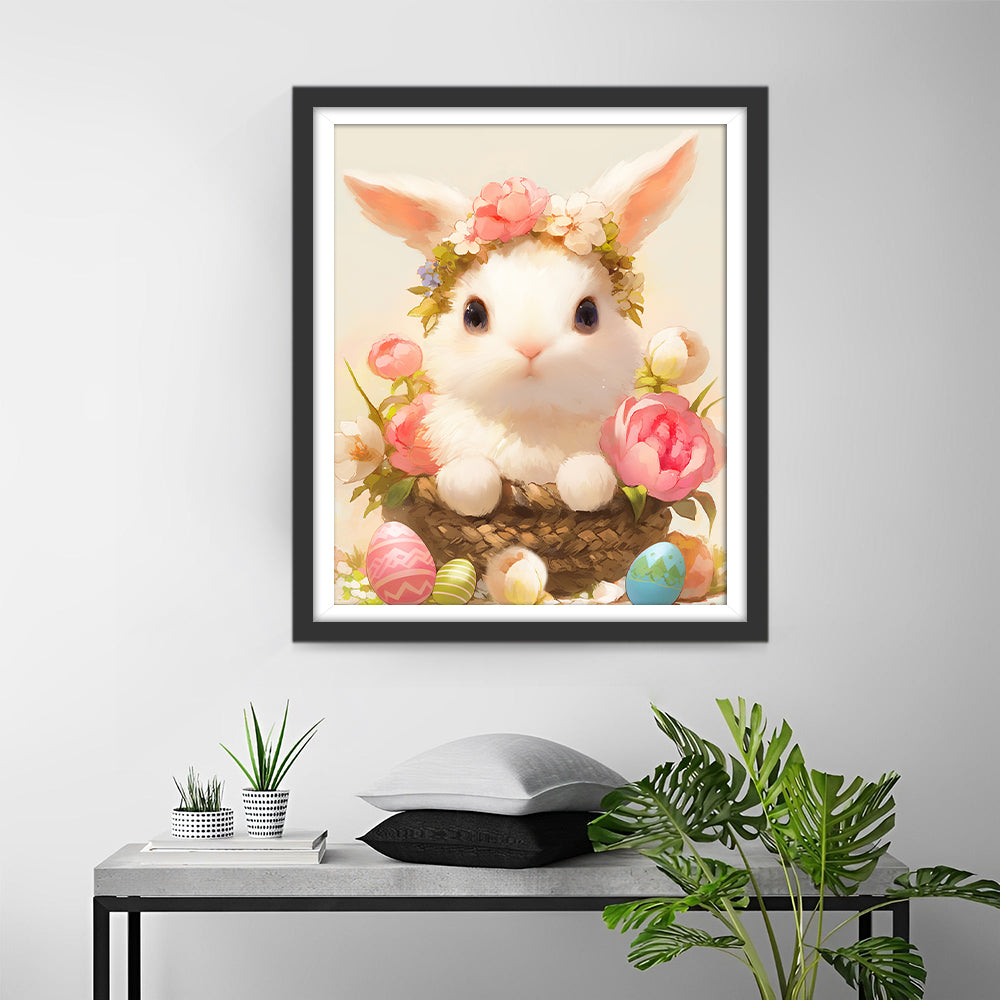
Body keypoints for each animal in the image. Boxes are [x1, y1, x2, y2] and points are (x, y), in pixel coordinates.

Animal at [343, 133, 698, 517]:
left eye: (588, 315)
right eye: (473, 315)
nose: (530, 347)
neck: (530, 419)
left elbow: (588, 472)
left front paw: (585, 486)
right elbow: (470, 477)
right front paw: (473, 489)